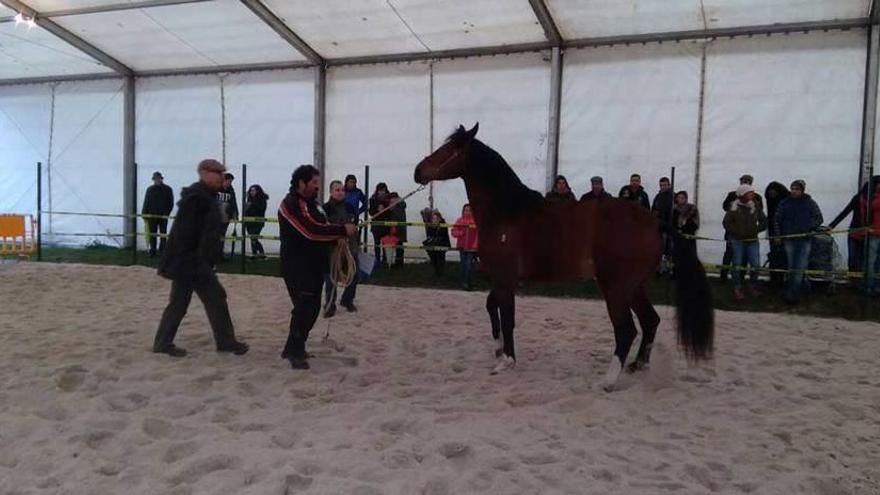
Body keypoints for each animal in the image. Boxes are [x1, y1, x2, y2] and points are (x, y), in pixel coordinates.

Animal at [414, 123, 716, 392]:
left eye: (451, 149)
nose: (418, 171)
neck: (508, 212)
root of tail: (655, 221)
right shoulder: (502, 279)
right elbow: (492, 308)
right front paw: (499, 351)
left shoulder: (504, 278)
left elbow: (507, 316)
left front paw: (506, 361)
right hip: (635, 287)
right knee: (650, 321)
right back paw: (637, 366)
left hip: (616, 287)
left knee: (626, 329)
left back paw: (608, 381)